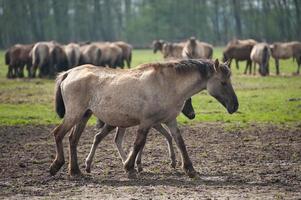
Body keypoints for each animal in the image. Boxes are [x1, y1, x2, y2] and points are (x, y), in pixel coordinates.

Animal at [48, 58, 237, 178]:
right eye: (223, 82)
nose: (235, 106)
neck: (167, 84)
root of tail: (69, 72)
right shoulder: (146, 122)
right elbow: (139, 143)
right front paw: (129, 167)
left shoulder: (170, 121)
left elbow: (179, 142)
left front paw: (190, 169)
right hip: (74, 114)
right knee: (58, 134)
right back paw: (57, 166)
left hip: (84, 115)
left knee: (73, 139)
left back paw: (76, 171)